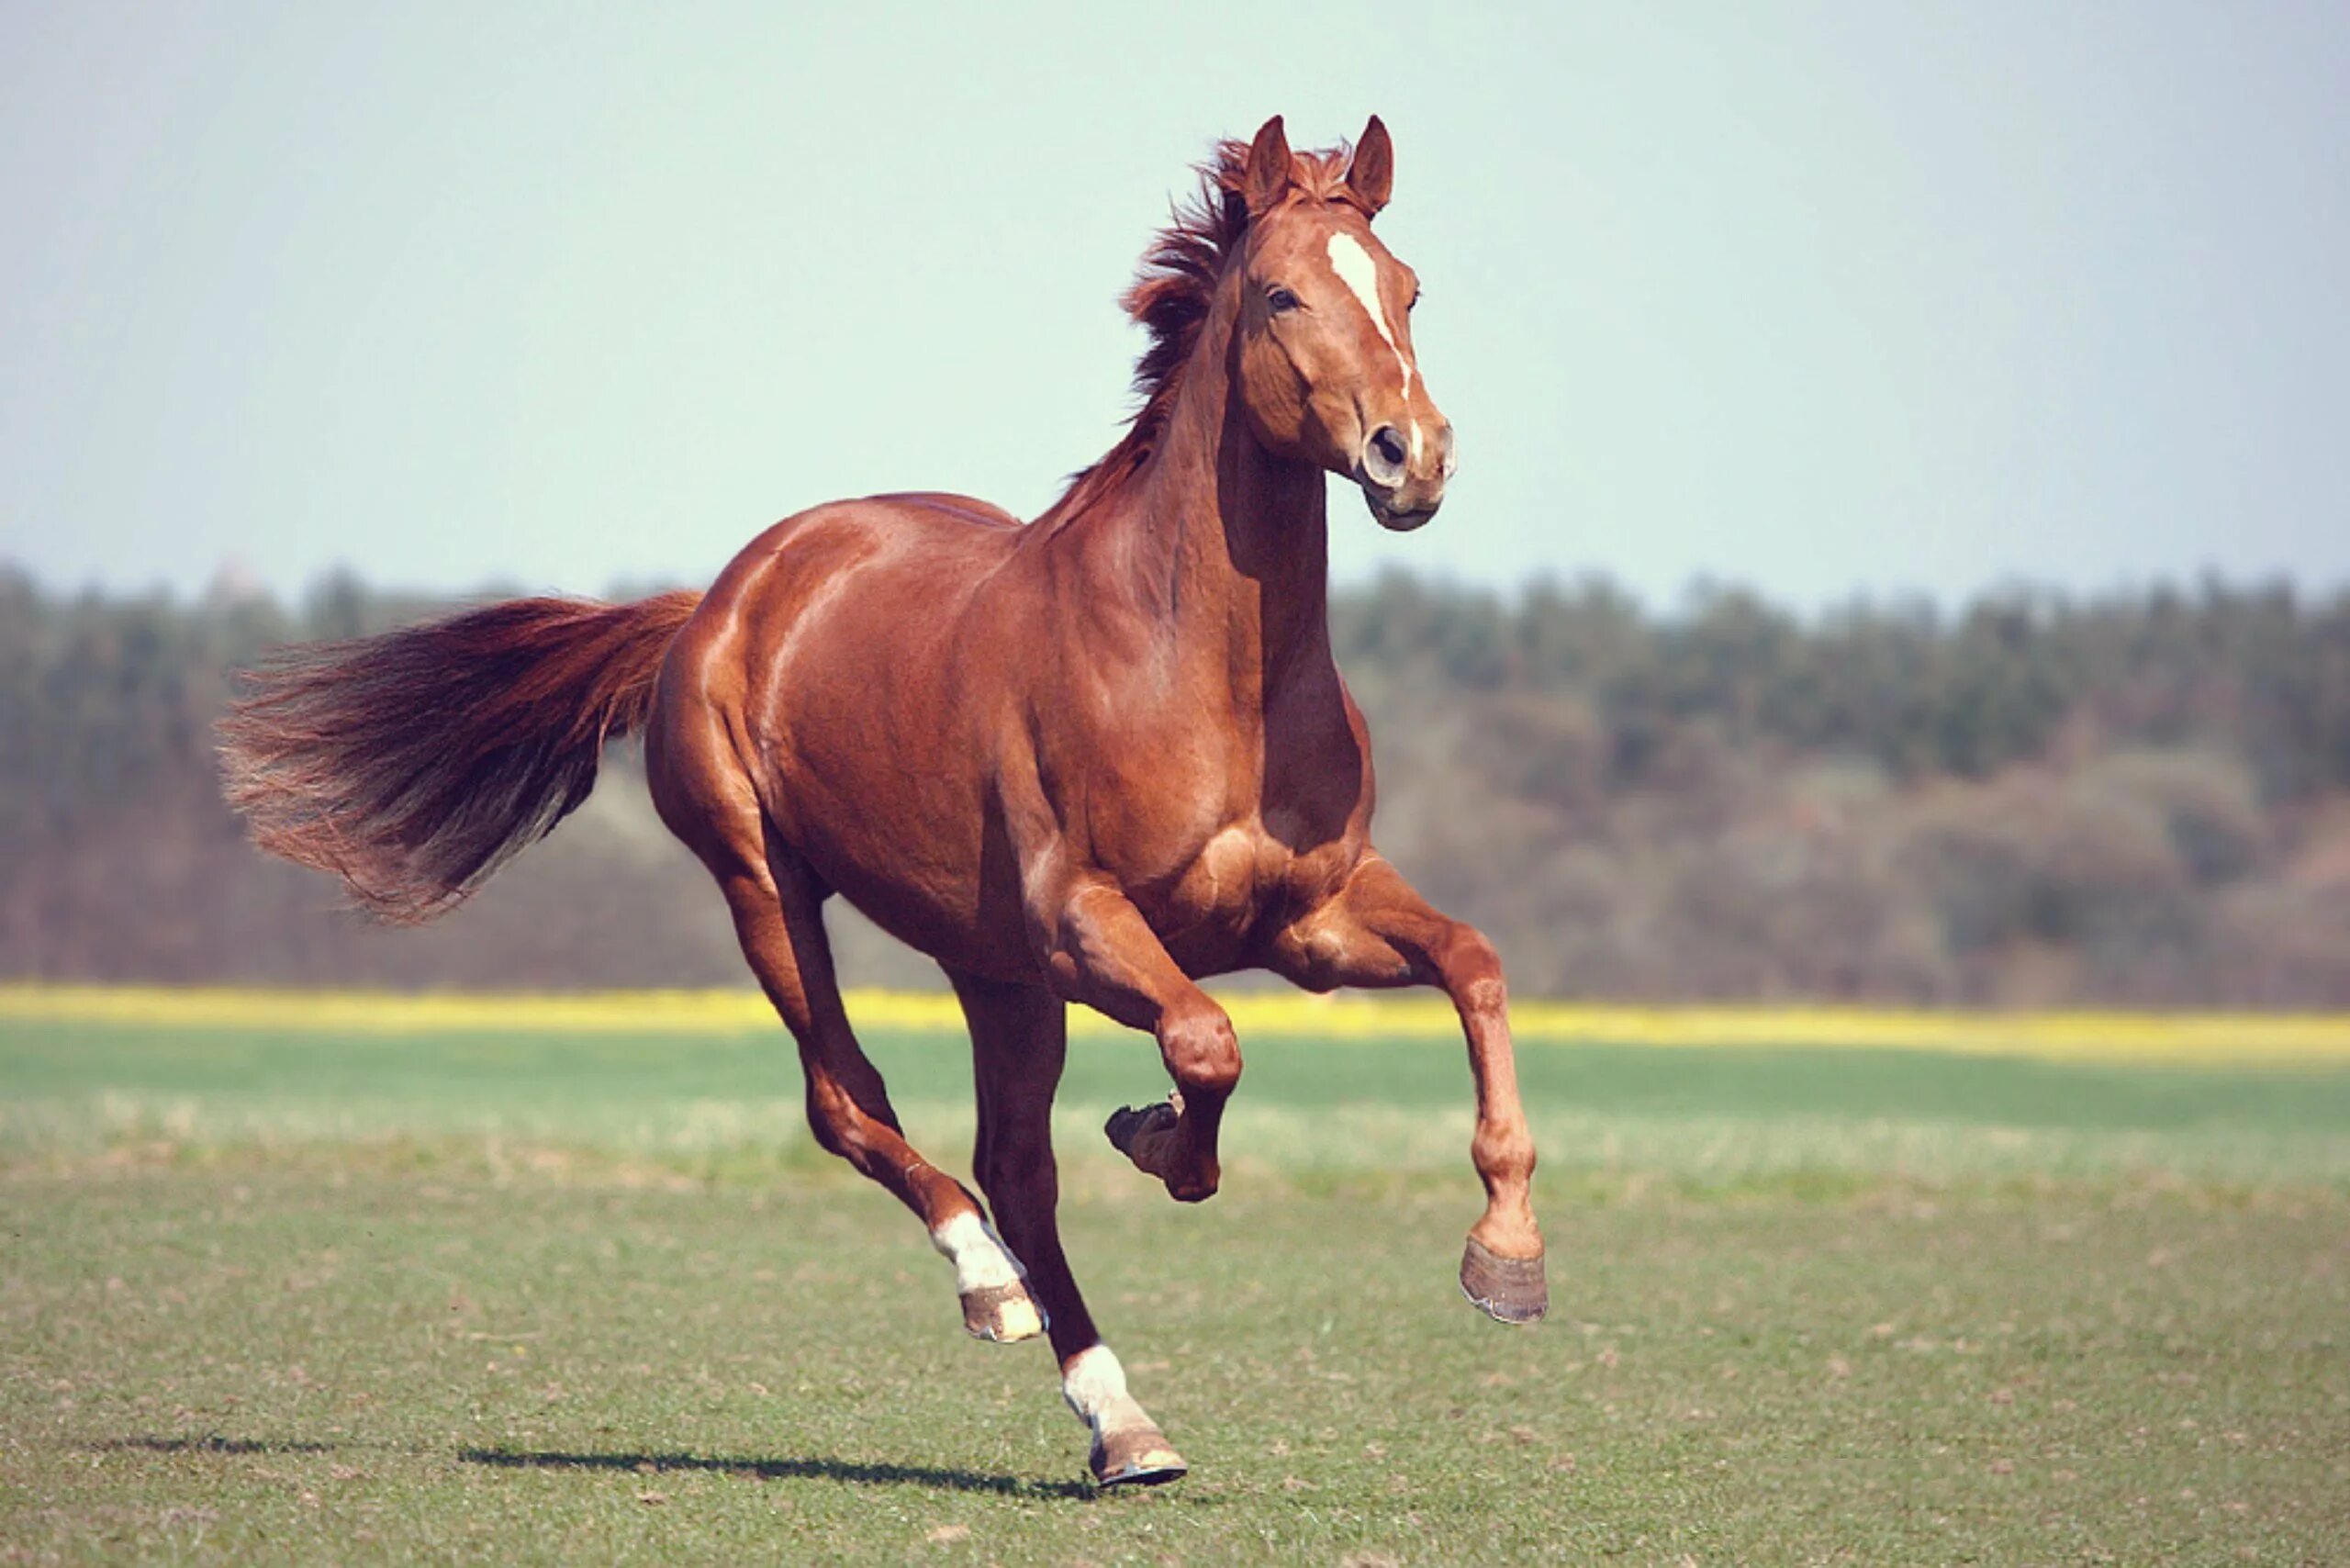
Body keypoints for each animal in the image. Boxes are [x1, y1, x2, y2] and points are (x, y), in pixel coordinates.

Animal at [220, 116, 1541, 1495]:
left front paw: (1505, 1259)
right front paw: (1160, 1141)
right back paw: (989, 1287)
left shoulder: (1308, 916)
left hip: (991, 968)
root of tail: (711, 603)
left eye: (1407, 290)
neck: (1199, 668)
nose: (1412, 455)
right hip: (772, 889)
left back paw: (1122, 1423)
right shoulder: (1084, 922)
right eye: (1282, 293)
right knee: (853, 1105)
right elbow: (1206, 1044)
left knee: (1015, 1167)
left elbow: (1473, 963)